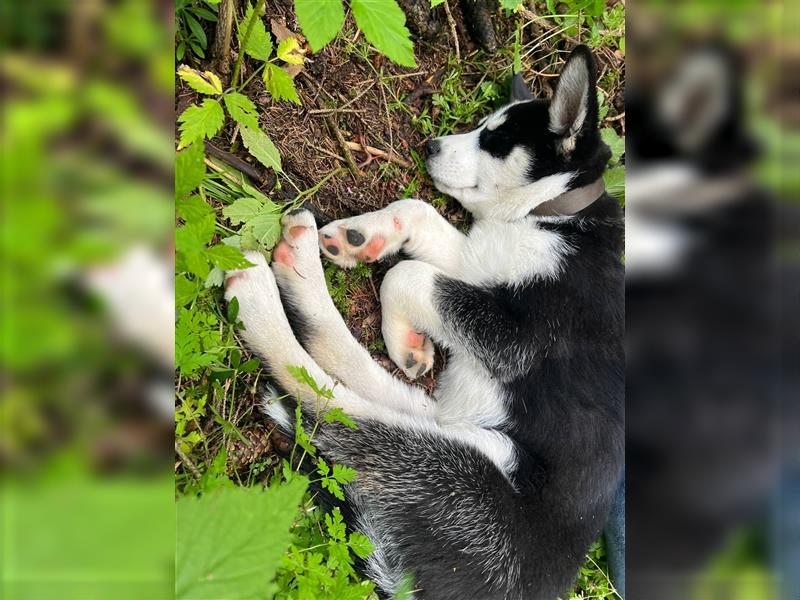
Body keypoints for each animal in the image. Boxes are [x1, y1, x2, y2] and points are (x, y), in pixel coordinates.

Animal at [225, 47, 624, 600]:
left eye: (495, 140)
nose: (430, 146)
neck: (549, 217)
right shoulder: (477, 267)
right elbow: (418, 216)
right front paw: (366, 241)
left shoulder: (517, 338)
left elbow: (407, 277)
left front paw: (400, 332)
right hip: (447, 427)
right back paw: (301, 262)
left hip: (457, 469)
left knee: (323, 404)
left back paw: (260, 292)